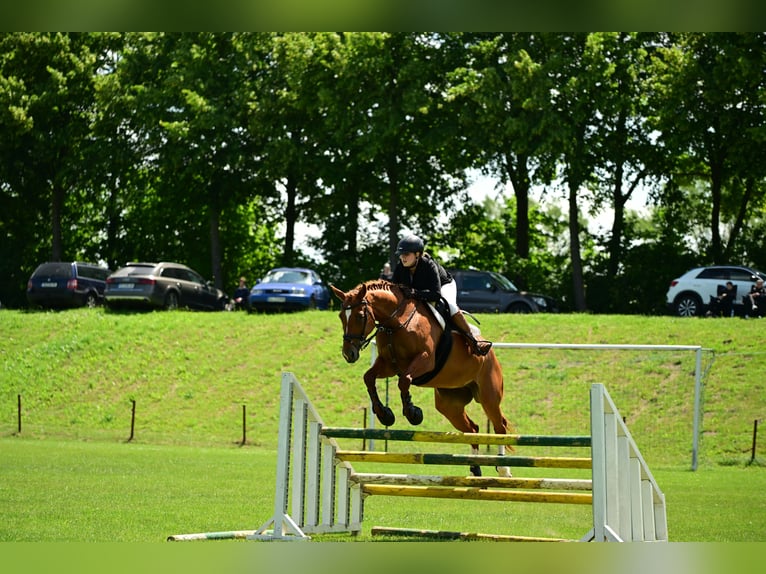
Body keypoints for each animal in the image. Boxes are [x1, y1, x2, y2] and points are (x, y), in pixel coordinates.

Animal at [330, 280, 512, 477]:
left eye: (360, 316)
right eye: (341, 316)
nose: (349, 354)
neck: (395, 322)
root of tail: (490, 354)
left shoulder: (425, 360)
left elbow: (404, 381)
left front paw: (412, 413)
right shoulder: (388, 365)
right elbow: (369, 378)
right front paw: (384, 414)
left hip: (489, 396)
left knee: (499, 426)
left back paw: (503, 469)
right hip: (449, 405)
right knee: (473, 429)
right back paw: (474, 470)